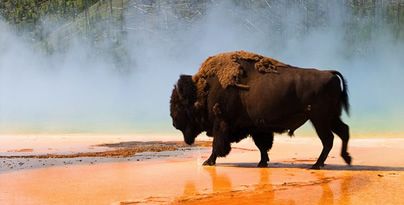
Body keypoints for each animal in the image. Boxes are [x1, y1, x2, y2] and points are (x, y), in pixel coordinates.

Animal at [169, 50, 352, 169]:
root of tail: (329, 73)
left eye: (178, 104)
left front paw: (208, 162)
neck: (204, 89)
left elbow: (218, 145)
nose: (174, 122)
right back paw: (346, 159)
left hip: (319, 119)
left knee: (328, 139)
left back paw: (317, 165)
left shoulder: (221, 124)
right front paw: (262, 163)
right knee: (343, 131)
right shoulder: (256, 127)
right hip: (331, 118)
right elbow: (262, 146)